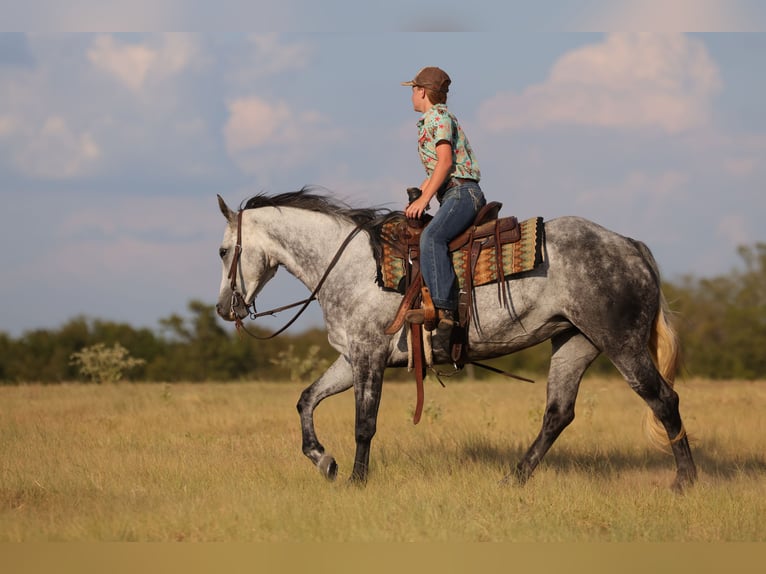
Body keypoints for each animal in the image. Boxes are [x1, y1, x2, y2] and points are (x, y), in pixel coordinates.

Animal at [215, 188, 697, 492]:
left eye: (222, 251)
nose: (223, 308)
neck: (353, 266)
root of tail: (630, 245)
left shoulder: (369, 355)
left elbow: (364, 423)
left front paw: (355, 479)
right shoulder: (352, 357)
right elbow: (306, 400)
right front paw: (324, 461)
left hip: (622, 343)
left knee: (664, 400)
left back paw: (685, 481)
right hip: (574, 343)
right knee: (558, 414)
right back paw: (513, 479)